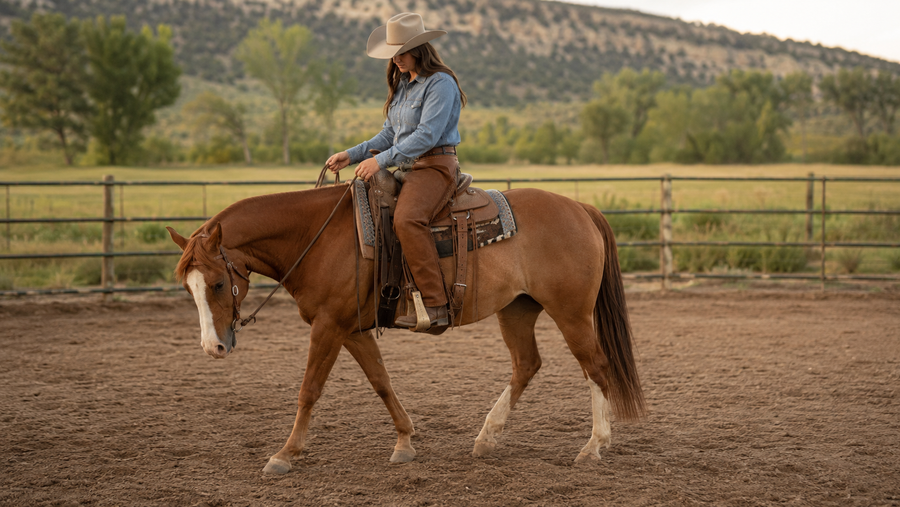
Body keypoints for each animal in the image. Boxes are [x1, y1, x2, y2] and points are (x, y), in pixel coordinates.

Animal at [166, 182, 646, 475]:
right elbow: (381, 381)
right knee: (526, 364)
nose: (213, 347)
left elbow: (309, 390)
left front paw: (285, 454)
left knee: (596, 368)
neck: (317, 238)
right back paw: (486, 438)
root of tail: (580, 207)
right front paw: (405, 442)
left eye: (217, 283)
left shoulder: (328, 326)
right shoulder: (351, 329)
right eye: (188, 287)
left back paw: (593, 446)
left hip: (571, 313)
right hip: (517, 310)